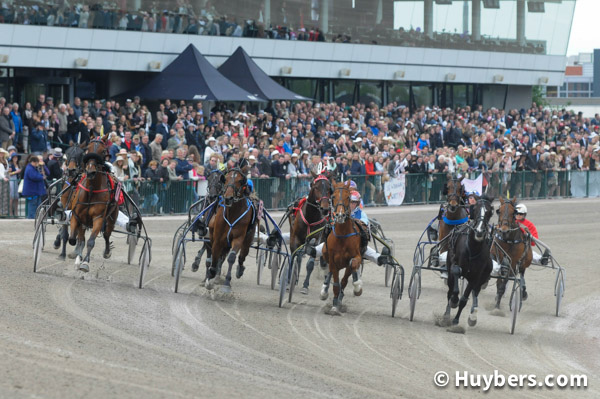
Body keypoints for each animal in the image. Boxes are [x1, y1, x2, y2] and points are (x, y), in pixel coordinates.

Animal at [205, 166, 256, 294]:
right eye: (225, 179)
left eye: (240, 180)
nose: (228, 198)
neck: (232, 213)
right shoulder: (217, 239)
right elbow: (214, 257)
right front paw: (210, 277)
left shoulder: (238, 238)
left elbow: (232, 258)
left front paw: (227, 283)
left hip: (247, 239)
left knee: (242, 256)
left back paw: (240, 269)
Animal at [322, 181, 364, 316]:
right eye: (333, 196)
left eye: (348, 197)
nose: (340, 215)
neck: (342, 236)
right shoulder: (333, 260)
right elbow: (335, 283)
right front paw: (334, 306)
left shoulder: (356, 256)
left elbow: (352, 266)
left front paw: (357, 287)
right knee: (329, 271)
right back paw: (325, 290)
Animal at [442, 195, 494, 330]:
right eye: (474, 209)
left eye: (489, 212)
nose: (479, 231)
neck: (473, 247)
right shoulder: (455, 264)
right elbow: (455, 275)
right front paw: (454, 301)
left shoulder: (475, 277)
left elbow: (464, 299)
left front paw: (456, 320)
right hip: (449, 269)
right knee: (449, 290)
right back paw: (446, 315)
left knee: (475, 292)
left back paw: (472, 316)